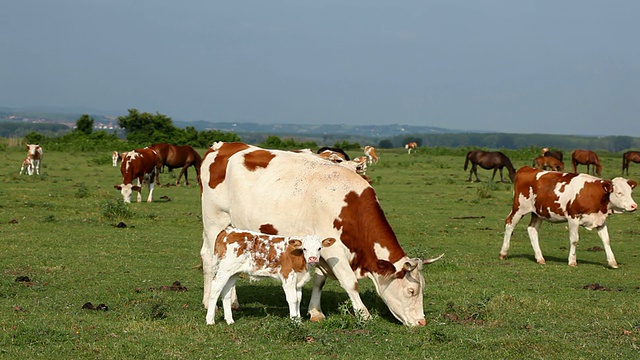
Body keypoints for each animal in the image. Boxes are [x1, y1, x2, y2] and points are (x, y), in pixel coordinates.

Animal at [205, 228, 338, 326]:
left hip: (233, 272)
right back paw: (210, 320)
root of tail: (229, 231)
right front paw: (294, 321)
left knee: (226, 292)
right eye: (304, 248)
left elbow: (298, 299)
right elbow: (293, 299)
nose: (312, 258)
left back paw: (229, 320)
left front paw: (298, 320)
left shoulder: (298, 280)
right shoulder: (288, 278)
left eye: (319, 248)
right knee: (215, 287)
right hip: (224, 270)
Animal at [502, 166, 636, 268]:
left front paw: (612, 262)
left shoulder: (600, 220)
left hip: (538, 212)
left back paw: (540, 258)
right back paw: (503, 252)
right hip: (519, 208)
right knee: (509, 224)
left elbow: (606, 240)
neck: (595, 194)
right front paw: (572, 261)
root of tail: (527, 168)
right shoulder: (573, 217)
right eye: (619, 193)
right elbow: (574, 239)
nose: (634, 206)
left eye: (630, 192)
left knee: (532, 229)